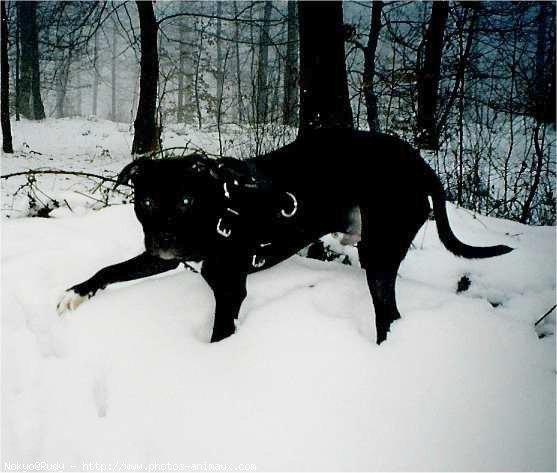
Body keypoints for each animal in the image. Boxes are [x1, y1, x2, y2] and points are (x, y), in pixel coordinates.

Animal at [57, 129, 512, 342]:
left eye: (186, 200)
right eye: (147, 201)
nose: (166, 240)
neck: (217, 210)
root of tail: (423, 166)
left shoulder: (230, 290)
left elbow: (219, 334)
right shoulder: (159, 255)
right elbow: (111, 269)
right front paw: (77, 293)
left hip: (380, 253)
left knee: (389, 314)